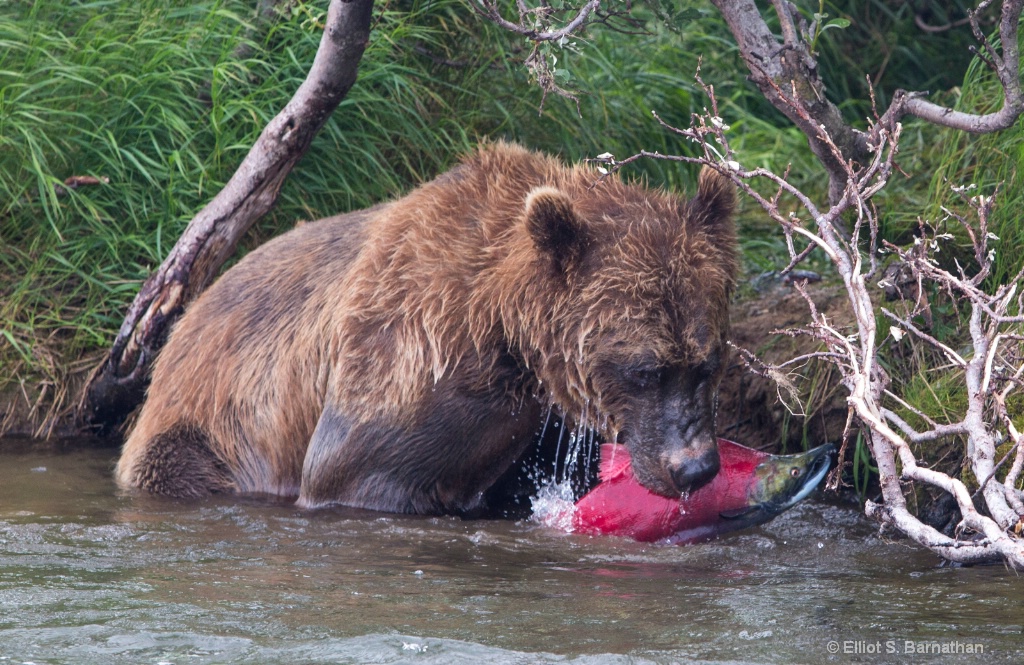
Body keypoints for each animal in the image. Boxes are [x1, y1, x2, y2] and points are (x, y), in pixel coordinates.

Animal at [117, 141, 737, 514]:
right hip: (200, 433)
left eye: (707, 363)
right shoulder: (409, 357)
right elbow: (356, 471)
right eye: (645, 369)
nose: (694, 468)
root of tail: (187, 320)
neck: (503, 325)